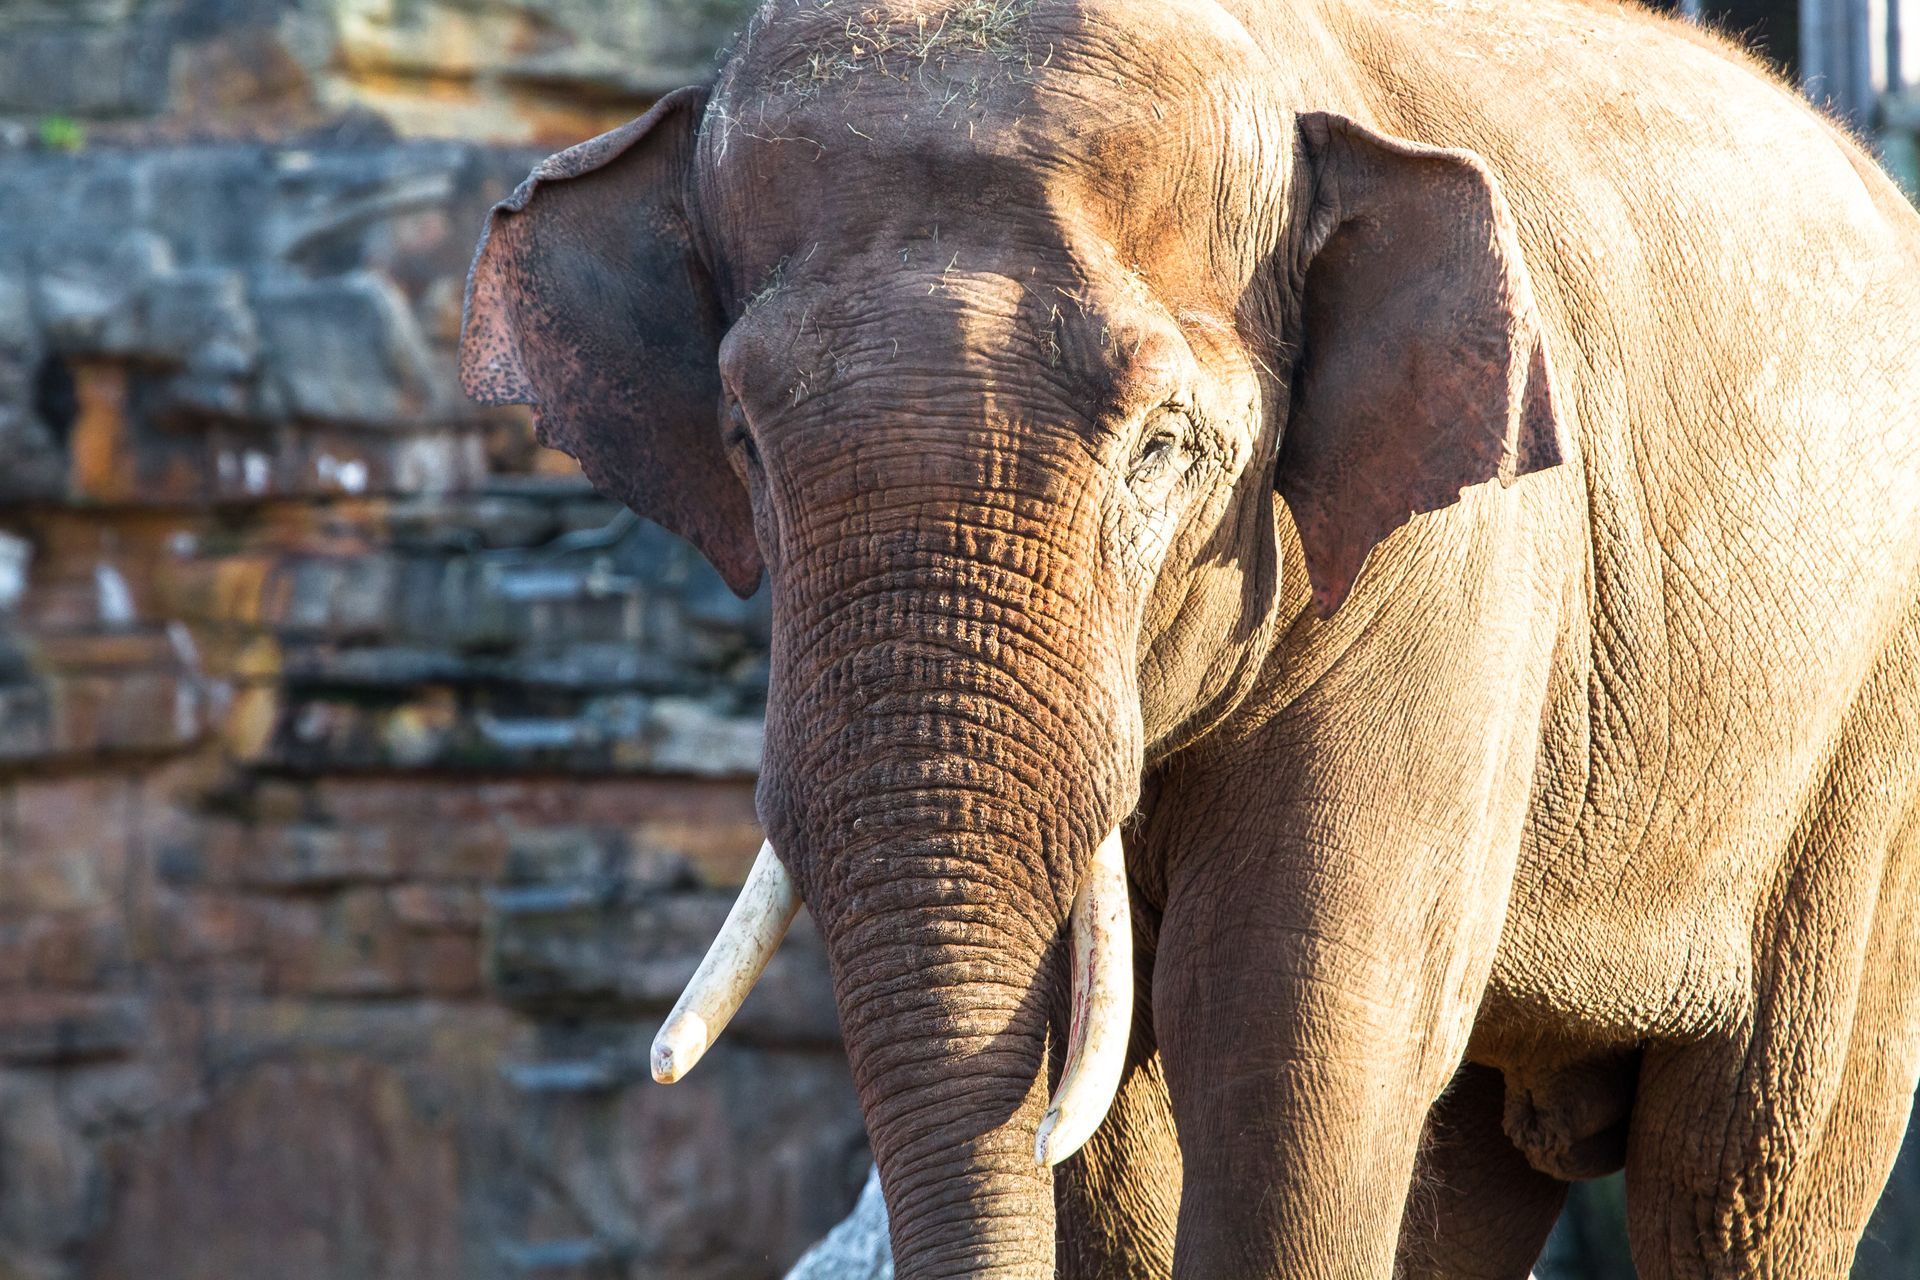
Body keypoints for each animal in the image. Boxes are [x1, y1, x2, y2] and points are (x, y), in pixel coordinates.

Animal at [457, 0, 1920, 1275]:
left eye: (1162, 450)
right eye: (745, 445)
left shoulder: (1459, 568)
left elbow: (1289, 1031)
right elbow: (1103, 1079)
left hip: (1869, 763)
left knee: (1743, 1178)